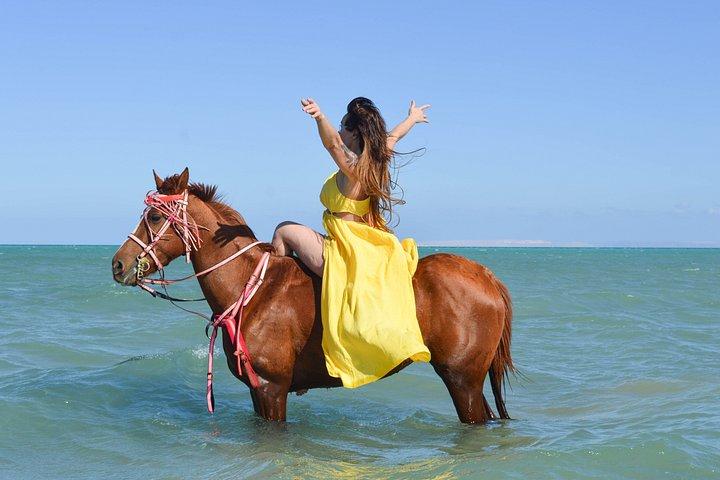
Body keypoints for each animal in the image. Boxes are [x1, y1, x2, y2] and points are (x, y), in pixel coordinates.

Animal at [111, 168, 515, 423]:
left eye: (152, 217)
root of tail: (486, 276)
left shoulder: (272, 389)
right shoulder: (259, 392)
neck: (252, 290)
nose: (118, 264)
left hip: (462, 380)